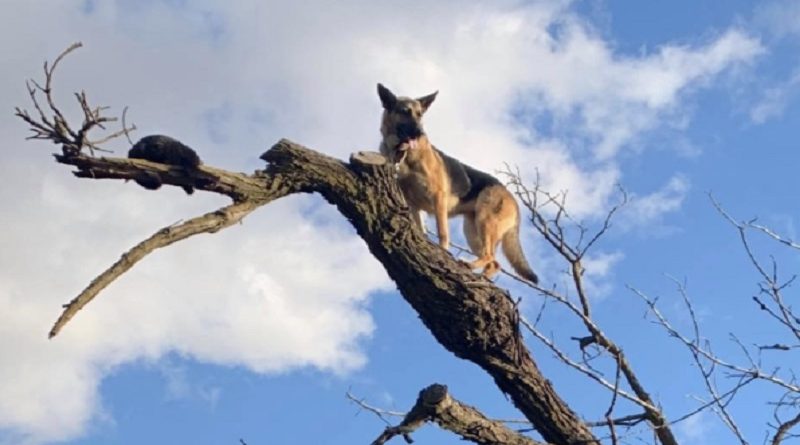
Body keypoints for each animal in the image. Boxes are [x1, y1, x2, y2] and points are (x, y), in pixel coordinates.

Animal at [378, 84, 540, 284]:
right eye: (404, 111)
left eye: (420, 114)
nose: (420, 132)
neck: (404, 155)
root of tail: (510, 197)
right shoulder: (412, 204)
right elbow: (420, 230)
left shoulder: (438, 197)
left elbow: (442, 232)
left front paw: (443, 251)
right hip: (472, 230)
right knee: (494, 262)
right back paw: (481, 277)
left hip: (485, 223)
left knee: (491, 256)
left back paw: (470, 266)